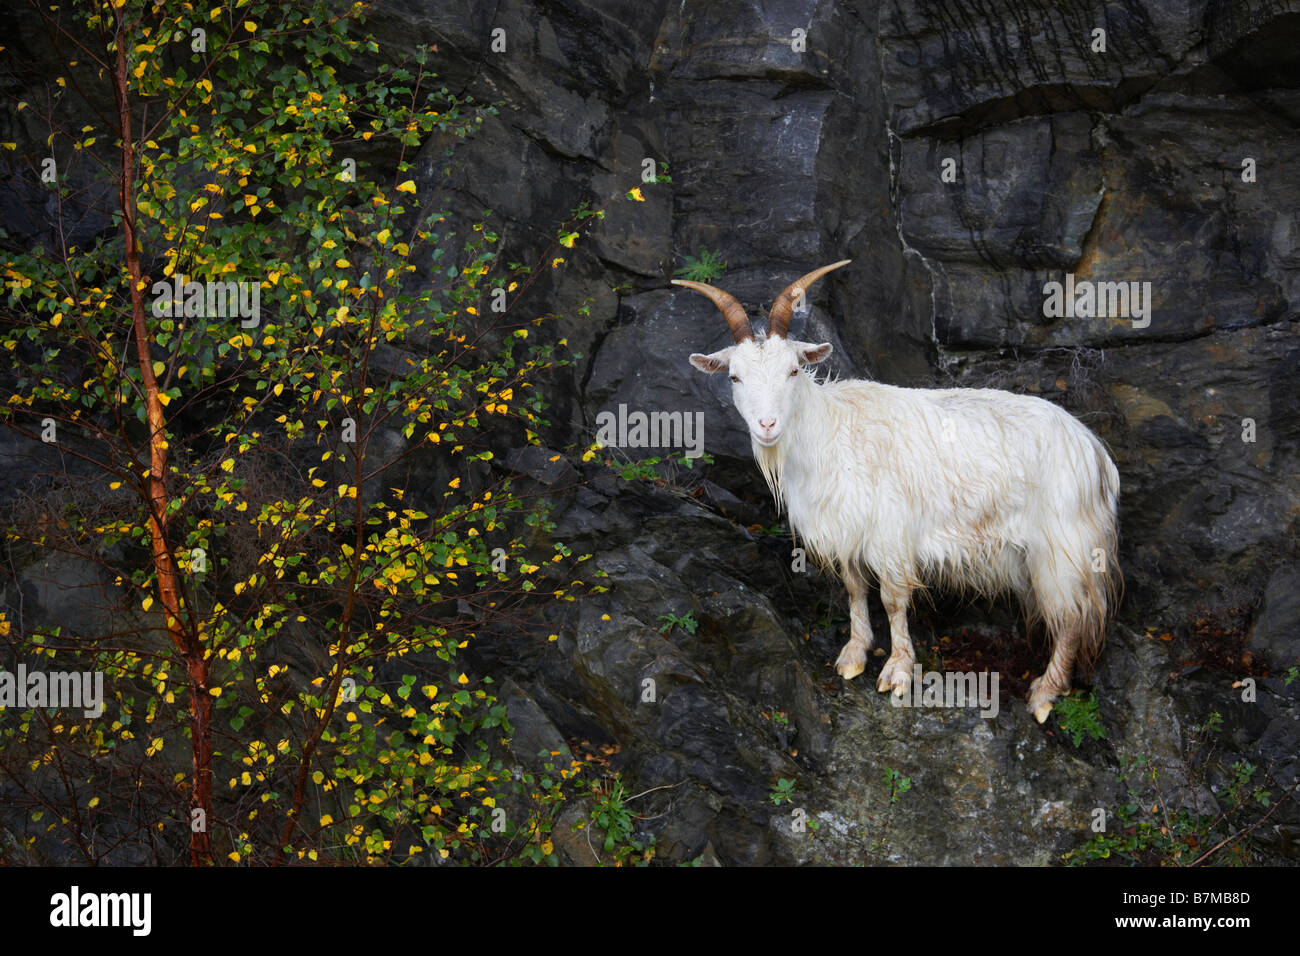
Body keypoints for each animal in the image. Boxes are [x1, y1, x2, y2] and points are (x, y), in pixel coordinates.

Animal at [681, 257, 1118, 723]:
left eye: (793, 370)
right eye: (735, 377)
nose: (767, 425)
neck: (830, 433)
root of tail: (1096, 455)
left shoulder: (890, 533)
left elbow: (892, 599)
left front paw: (897, 671)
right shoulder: (846, 531)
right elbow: (854, 588)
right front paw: (854, 655)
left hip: (1064, 548)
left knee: (1072, 619)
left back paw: (1045, 694)